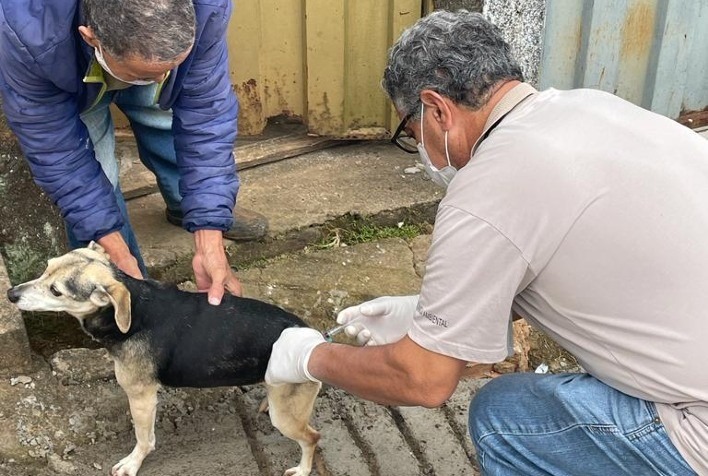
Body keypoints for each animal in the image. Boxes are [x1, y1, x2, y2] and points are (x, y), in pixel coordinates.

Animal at [4, 244, 320, 476]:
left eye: (56, 290)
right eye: (46, 268)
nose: (10, 293)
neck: (132, 312)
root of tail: (313, 337)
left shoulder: (141, 397)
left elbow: (144, 439)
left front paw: (132, 464)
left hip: (286, 417)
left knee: (312, 438)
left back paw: (302, 470)